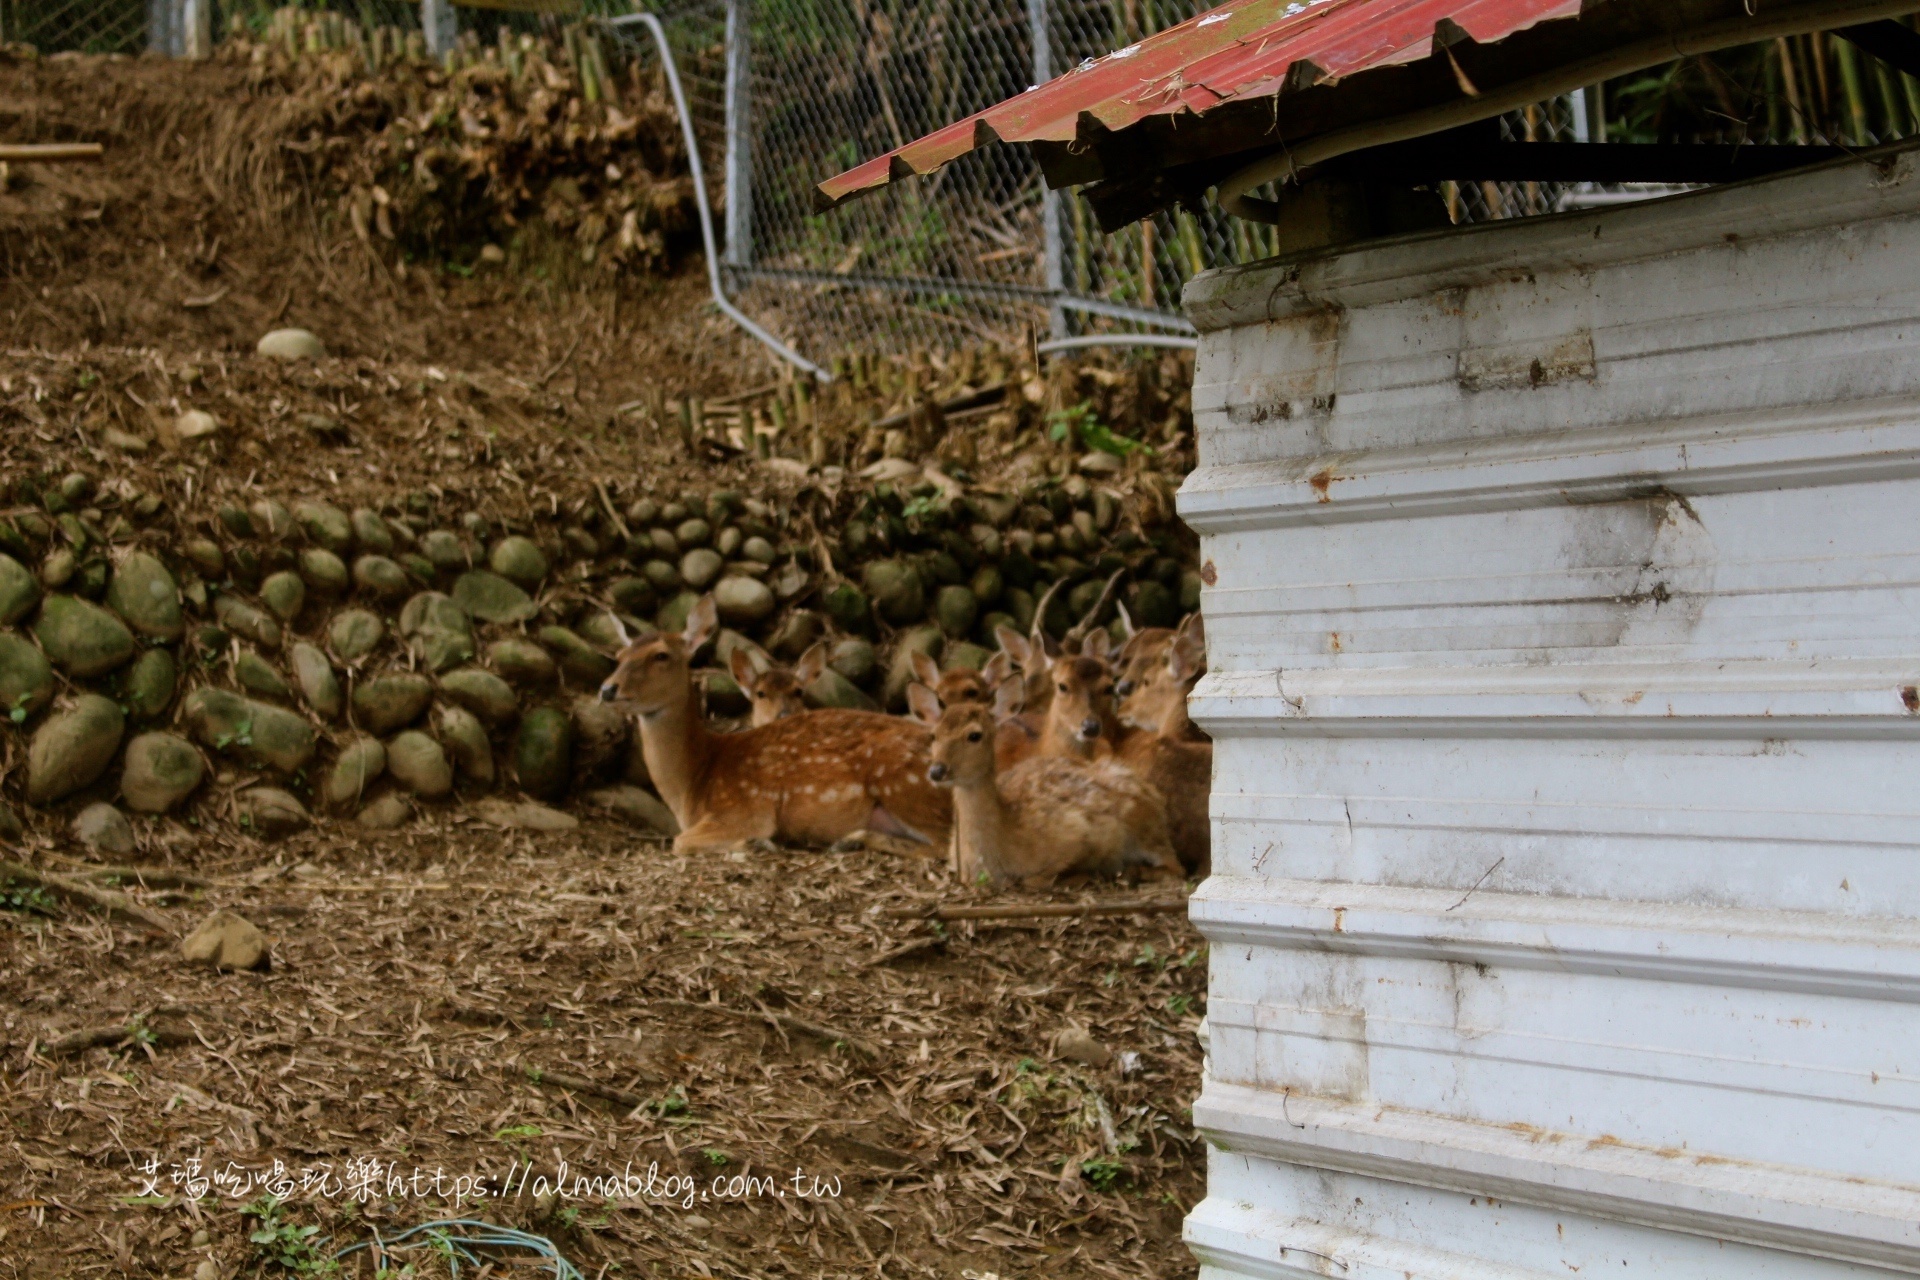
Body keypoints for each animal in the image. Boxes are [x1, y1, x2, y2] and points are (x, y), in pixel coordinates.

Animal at [595, 598, 948, 855]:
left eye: (661, 655)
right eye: (619, 655)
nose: (607, 689)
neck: (694, 785)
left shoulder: (746, 808)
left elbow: (679, 843)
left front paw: (756, 843)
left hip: (903, 784)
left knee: (945, 847)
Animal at [917, 702, 1175, 890]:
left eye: (974, 735)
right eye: (933, 735)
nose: (937, 770)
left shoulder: (1080, 834)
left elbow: (1035, 879)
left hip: (1146, 829)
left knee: (1175, 867)